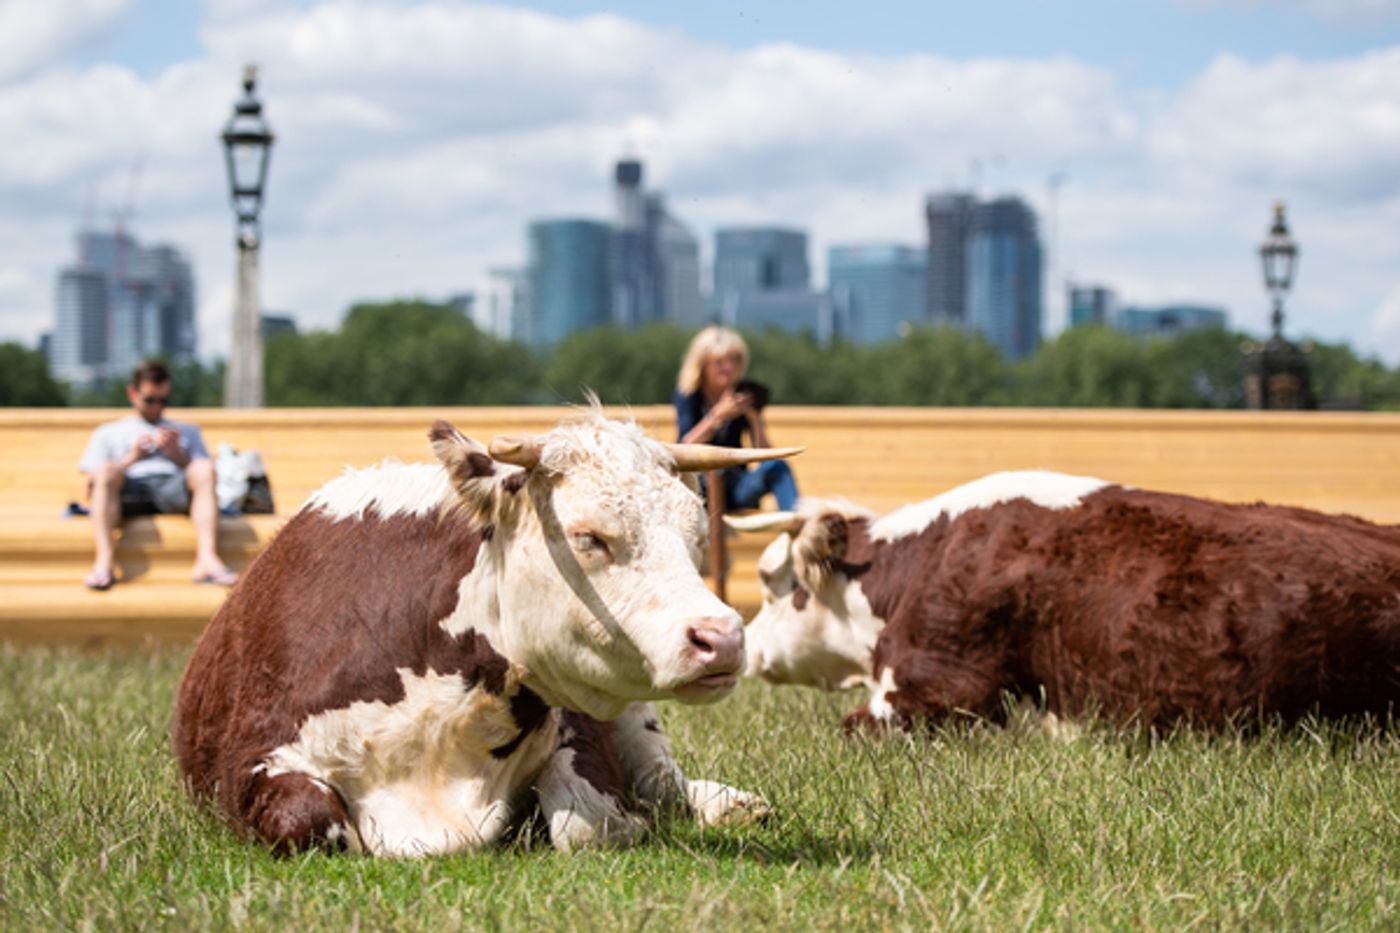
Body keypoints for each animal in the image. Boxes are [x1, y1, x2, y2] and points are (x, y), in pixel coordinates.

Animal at [172, 411, 800, 856]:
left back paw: (726, 803)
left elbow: (586, 822)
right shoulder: (254, 761)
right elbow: (306, 819)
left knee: (664, 780)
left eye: (696, 537)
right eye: (589, 537)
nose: (722, 638)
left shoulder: (581, 729)